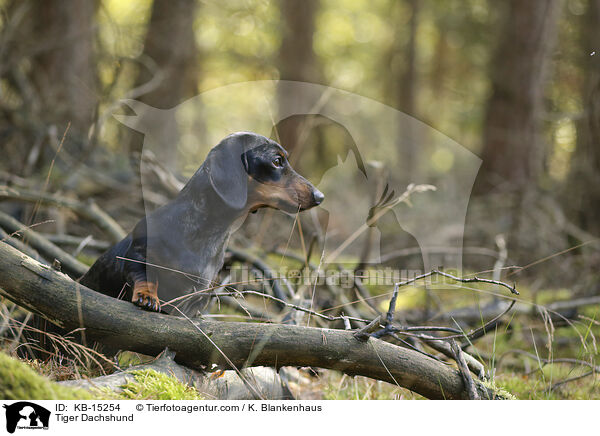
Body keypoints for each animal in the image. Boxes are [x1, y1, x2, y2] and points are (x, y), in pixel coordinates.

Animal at [80, 131, 326, 316]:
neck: (207, 232)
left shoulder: (198, 294)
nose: (320, 196)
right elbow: (145, 276)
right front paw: (147, 296)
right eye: (277, 161)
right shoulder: (137, 254)